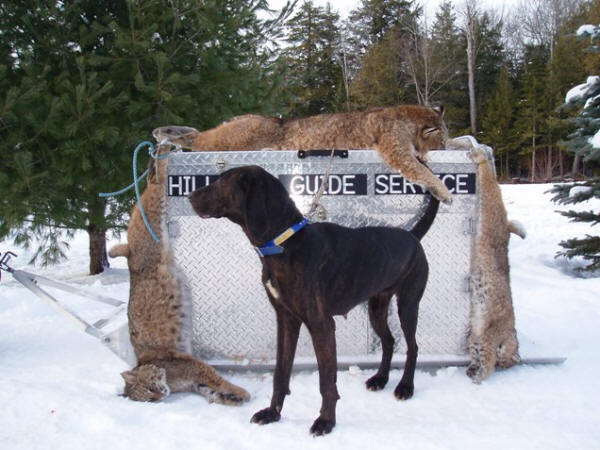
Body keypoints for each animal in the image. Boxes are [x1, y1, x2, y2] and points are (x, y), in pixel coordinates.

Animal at [190, 166, 438, 436]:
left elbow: (326, 382)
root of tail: (412, 236)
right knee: (389, 340)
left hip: (408, 304)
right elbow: (280, 373)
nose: (190, 196)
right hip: (377, 307)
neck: (284, 244)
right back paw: (380, 379)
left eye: (221, 181)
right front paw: (273, 413)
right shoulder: (286, 321)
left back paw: (405, 387)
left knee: (412, 346)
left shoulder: (322, 325)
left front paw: (326, 421)